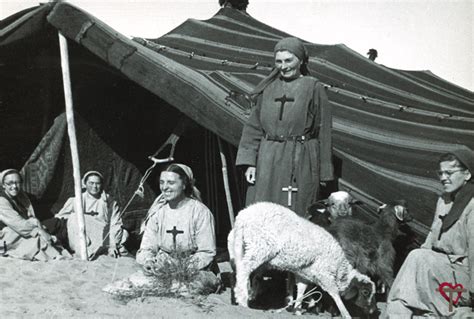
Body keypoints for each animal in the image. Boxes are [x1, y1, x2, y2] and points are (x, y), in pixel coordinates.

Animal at [228, 201, 376, 318]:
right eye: (365, 292)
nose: (373, 311)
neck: (339, 267)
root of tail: (243, 216)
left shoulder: (304, 274)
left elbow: (301, 291)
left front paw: (297, 309)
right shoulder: (325, 275)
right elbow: (335, 294)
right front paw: (345, 313)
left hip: (242, 248)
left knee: (241, 270)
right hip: (259, 247)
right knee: (244, 270)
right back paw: (242, 300)